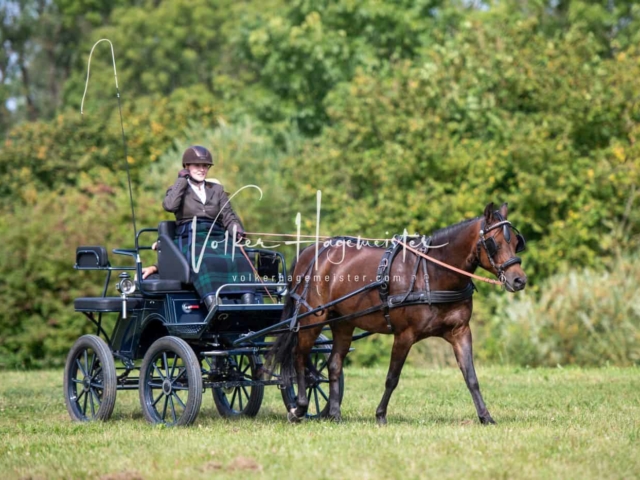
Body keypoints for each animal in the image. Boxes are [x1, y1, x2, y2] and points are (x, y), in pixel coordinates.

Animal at [268, 202, 528, 424]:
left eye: (516, 241)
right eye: (494, 242)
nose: (519, 280)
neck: (432, 274)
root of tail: (312, 251)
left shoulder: (460, 332)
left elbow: (471, 377)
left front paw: (485, 416)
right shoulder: (404, 335)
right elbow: (392, 377)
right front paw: (381, 415)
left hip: (344, 323)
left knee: (334, 363)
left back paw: (334, 413)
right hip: (311, 317)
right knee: (299, 356)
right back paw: (299, 408)